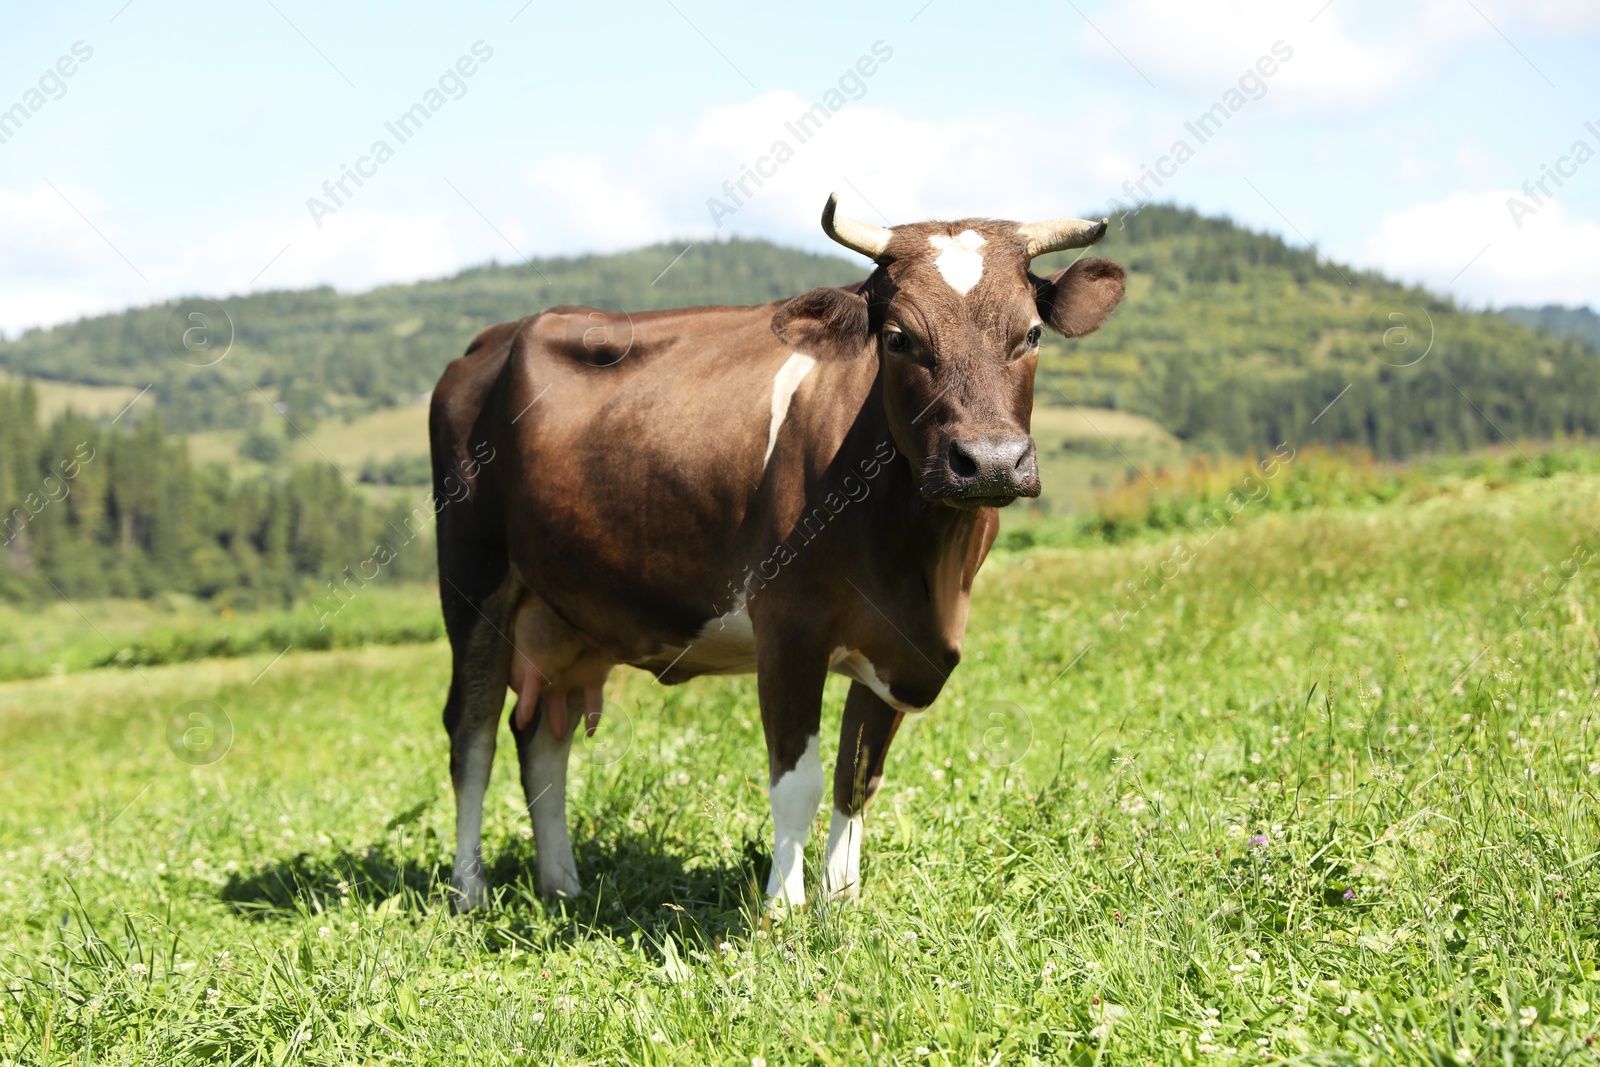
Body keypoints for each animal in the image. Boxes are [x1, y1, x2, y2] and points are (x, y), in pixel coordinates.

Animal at [428, 191, 1126, 908]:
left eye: (1032, 333)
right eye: (900, 337)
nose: (988, 462)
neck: (924, 565)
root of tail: (494, 338)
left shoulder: (899, 647)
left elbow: (857, 778)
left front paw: (841, 902)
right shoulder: (789, 627)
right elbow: (798, 782)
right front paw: (783, 910)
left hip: (565, 611)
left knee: (543, 734)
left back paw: (563, 885)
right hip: (473, 578)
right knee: (472, 732)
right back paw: (469, 891)